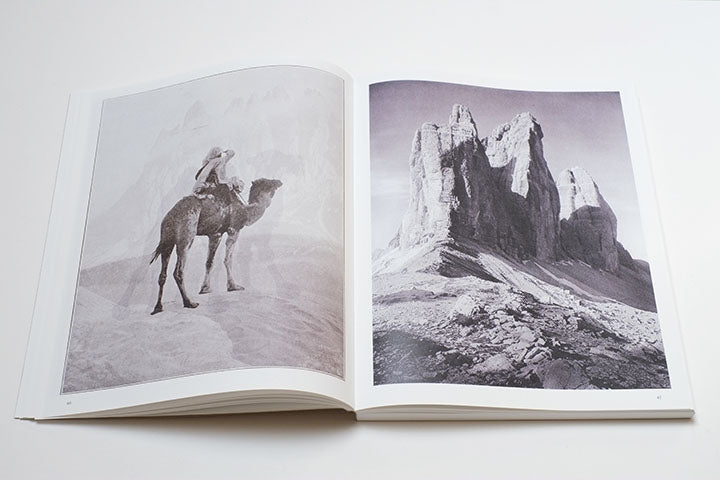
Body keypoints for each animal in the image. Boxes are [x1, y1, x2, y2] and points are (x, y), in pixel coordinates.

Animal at [149, 178, 283, 315]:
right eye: (268, 182)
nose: (279, 182)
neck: (245, 211)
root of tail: (170, 216)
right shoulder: (233, 230)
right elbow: (228, 259)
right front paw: (233, 286)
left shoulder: (214, 234)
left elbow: (209, 262)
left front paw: (205, 289)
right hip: (186, 236)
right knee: (178, 271)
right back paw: (189, 303)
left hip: (167, 240)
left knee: (162, 275)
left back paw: (158, 307)